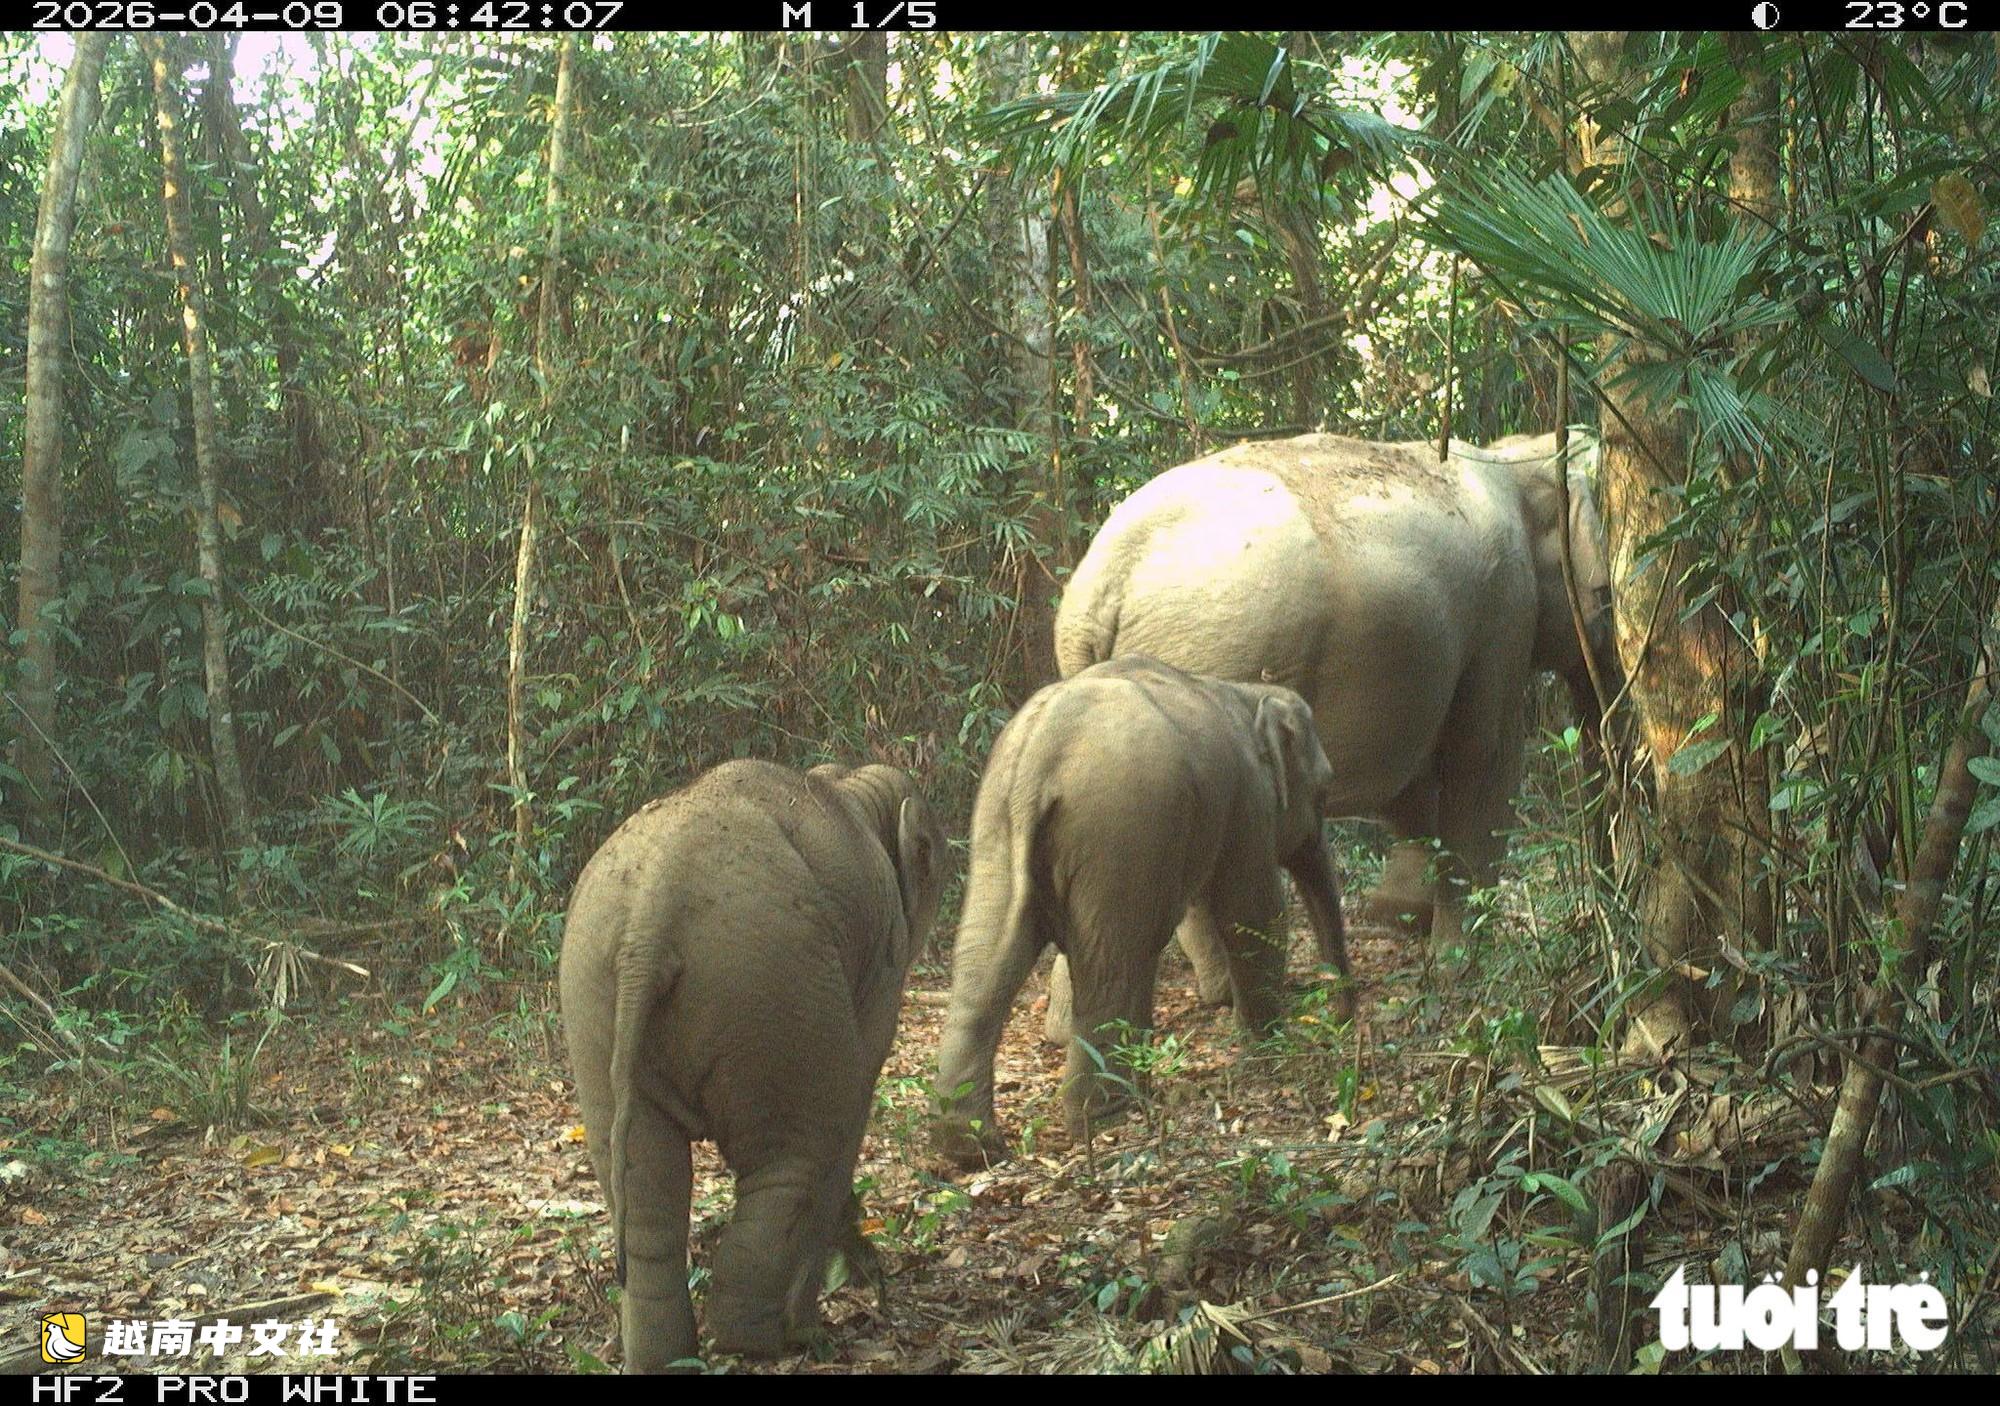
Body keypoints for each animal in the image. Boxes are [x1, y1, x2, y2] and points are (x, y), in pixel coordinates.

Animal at [558, 759, 945, 1371]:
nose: (877, 1282)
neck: (848, 784)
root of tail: (649, 922)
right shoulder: (882, 964)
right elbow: (855, 1097)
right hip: (772, 985)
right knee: (795, 1160)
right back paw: (777, 1340)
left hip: (592, 1002)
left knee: (645, 1193)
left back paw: (667, 1358)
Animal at [931, 655, 1352, 1169]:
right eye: (1324, 791)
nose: (1341, 1020)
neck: (1245, 692)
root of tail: (1039, 755)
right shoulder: (1247, 803)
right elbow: (1252, 912)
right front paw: (1271, 1049)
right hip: (1119, 828)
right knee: (1114, 959)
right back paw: (1108, 1122)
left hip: (997, 824)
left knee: (987, 959)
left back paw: (972, 1147)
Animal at [1053, 430, 1618, 963]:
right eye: (1609, 595)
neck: (1514, 457)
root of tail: (1098, 589)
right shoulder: (1504, 610)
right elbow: (1483, 762)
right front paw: (1458, 961)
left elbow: (1409, 781)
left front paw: (1400, 913)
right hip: (1210, 659)